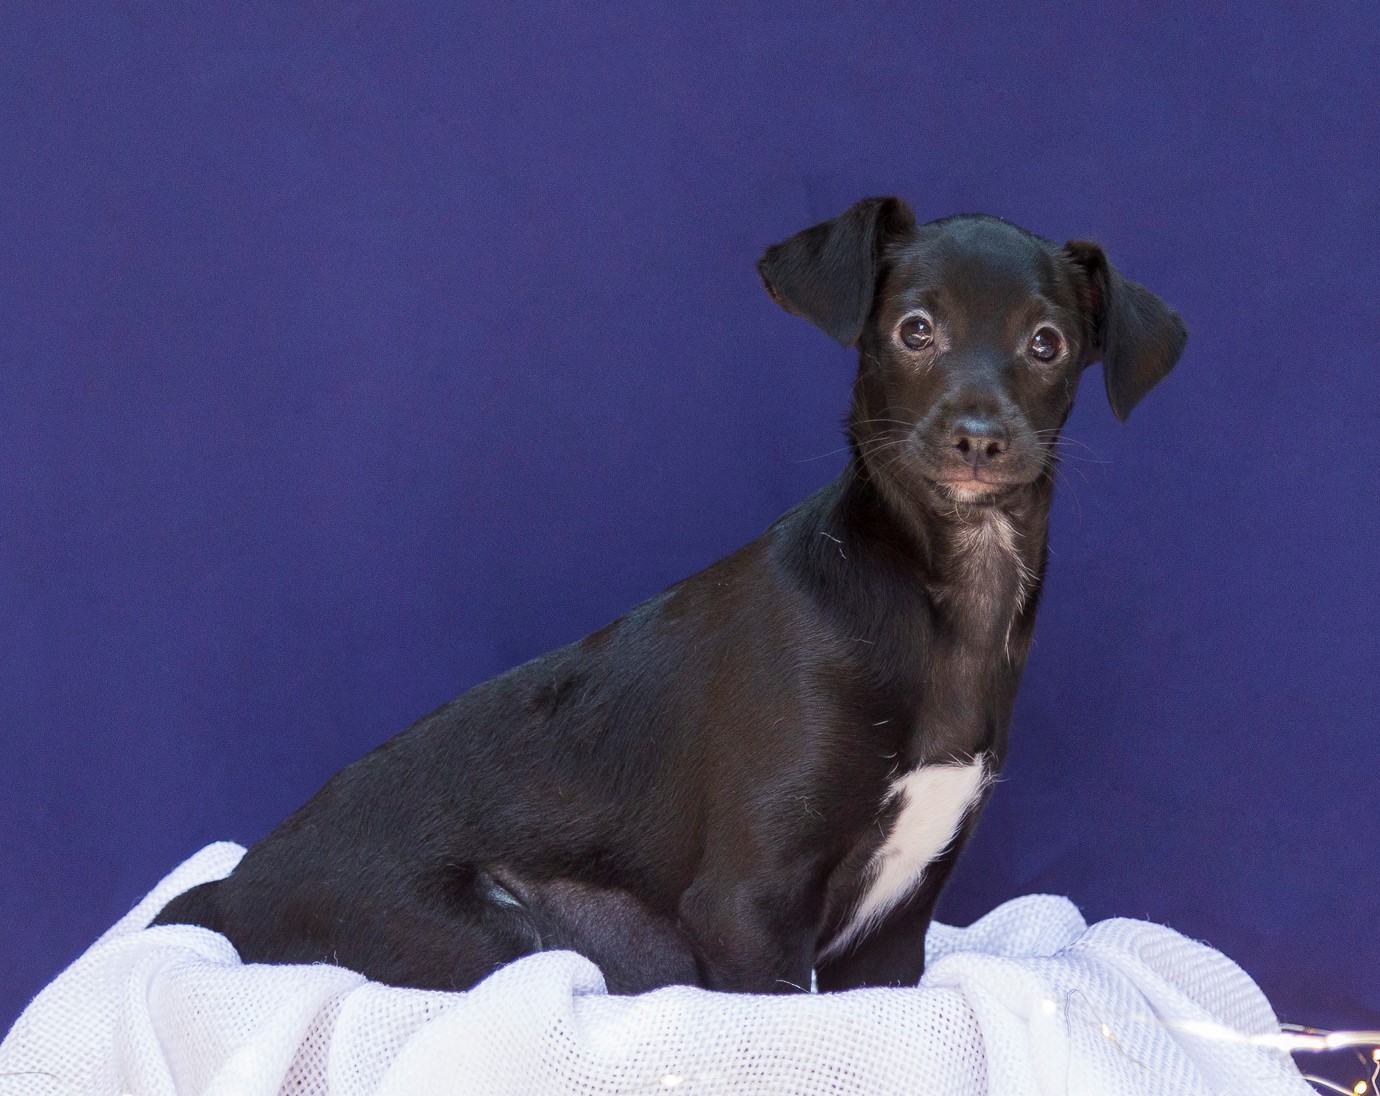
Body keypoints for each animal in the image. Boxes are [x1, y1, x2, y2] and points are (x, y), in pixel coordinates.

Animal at [153, 194, 1186, 988]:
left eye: (1047, 344)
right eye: (915, 331)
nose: (979, 437)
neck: (942, 593)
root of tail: (227, 893)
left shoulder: (894, 935)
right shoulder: (748, 909)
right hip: (497, 938)